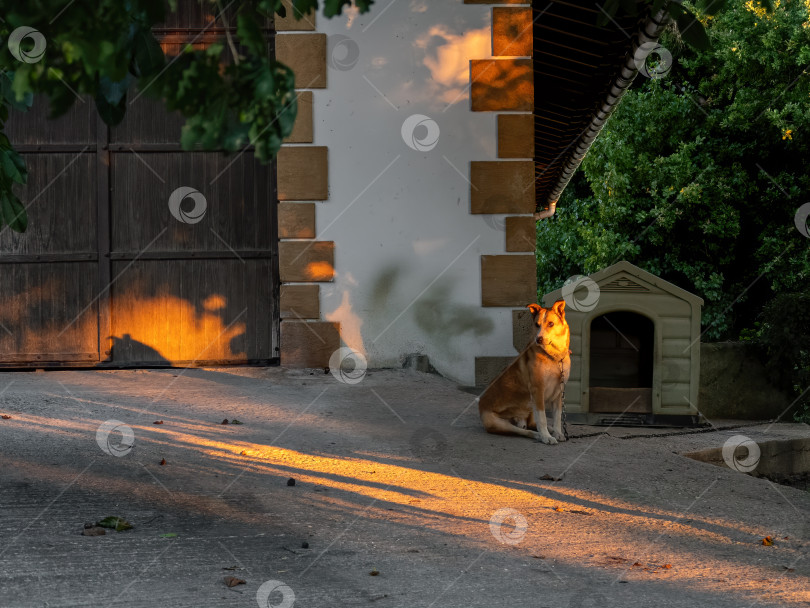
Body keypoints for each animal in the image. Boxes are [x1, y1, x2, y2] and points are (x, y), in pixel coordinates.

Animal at [476, 302, 572, 444]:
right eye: (537, 324)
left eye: (551, 324)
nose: (539, 339)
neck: (554, 357)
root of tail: (480, 404)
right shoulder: (538, 390)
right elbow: (542, 418)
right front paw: (546, 437)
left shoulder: (559, 392)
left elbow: (557, 417)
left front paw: (558, 433)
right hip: (499, 423)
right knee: (525, 431)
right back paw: (539, 435)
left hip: (530, 406)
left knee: (532, 423)